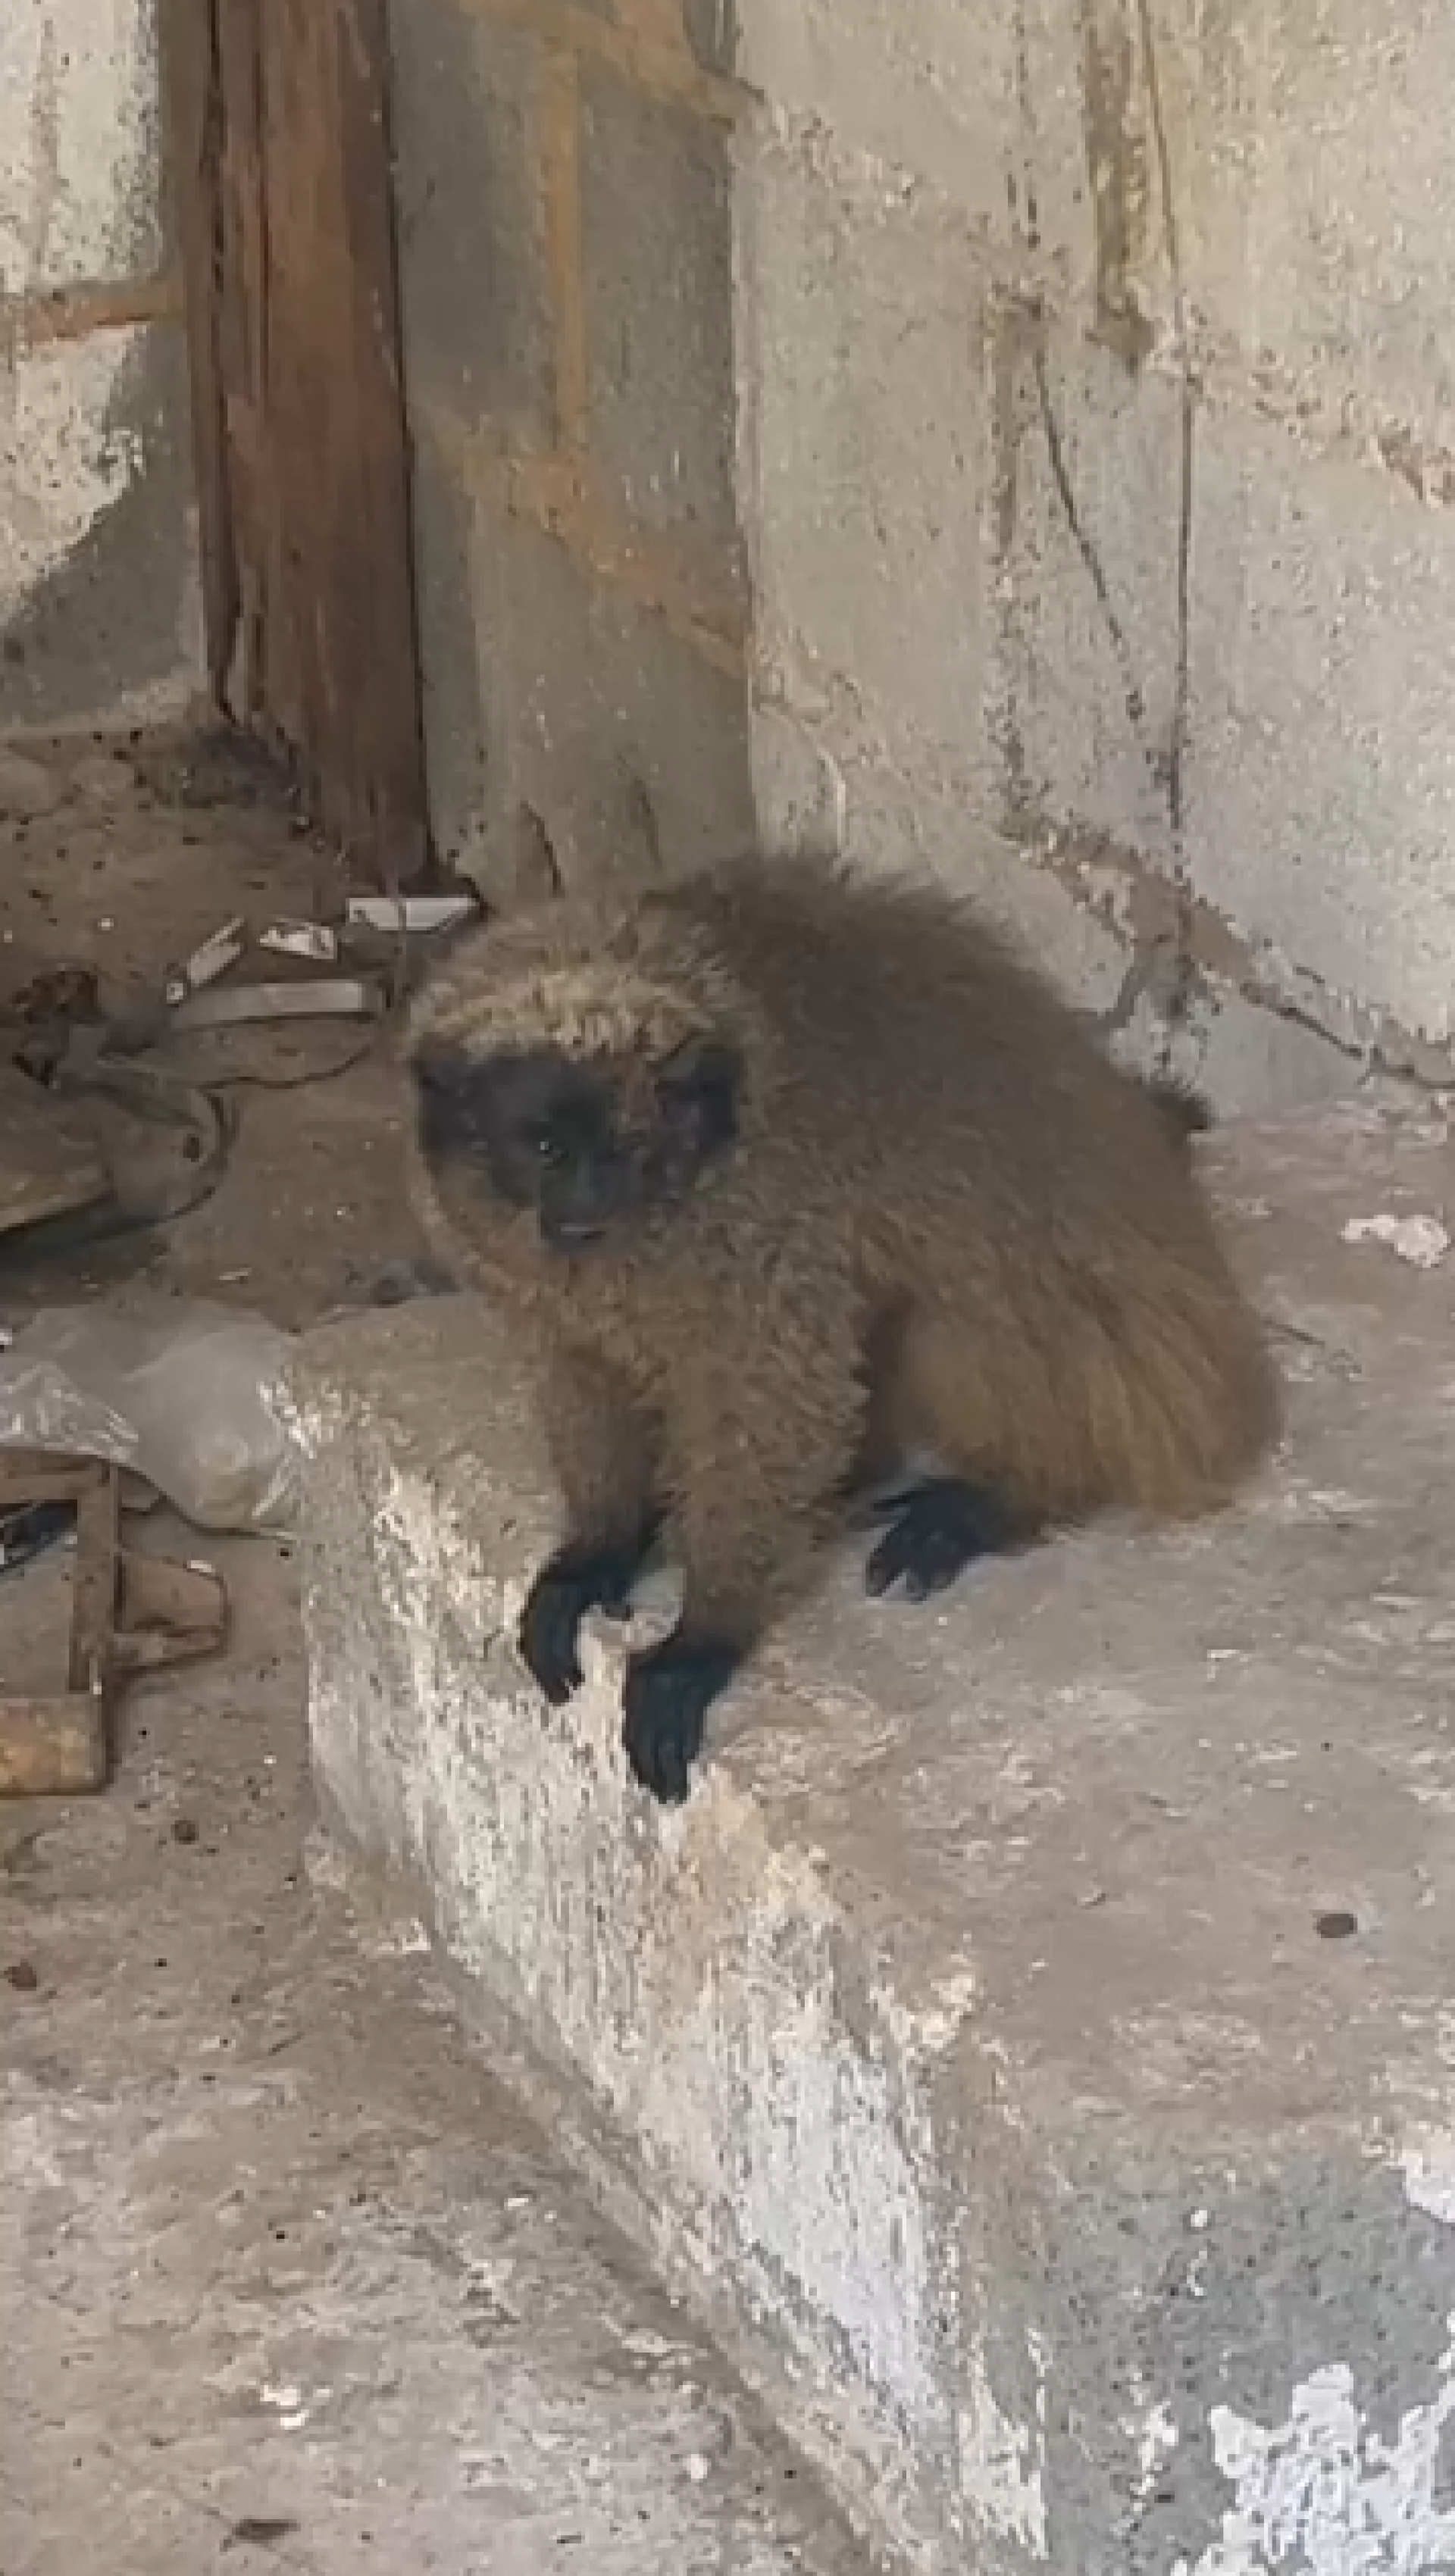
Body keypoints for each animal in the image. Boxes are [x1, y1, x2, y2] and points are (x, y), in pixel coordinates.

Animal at [403, 853, 1278, 1806]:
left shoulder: (759, 1218)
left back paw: (1004, 1496)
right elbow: (582, 1370)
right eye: (546, 1149)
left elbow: (777, 1399)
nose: (590, 1204)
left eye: (627, 1147)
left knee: (950, 1304)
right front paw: (601, 1549)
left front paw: (705, 1638)